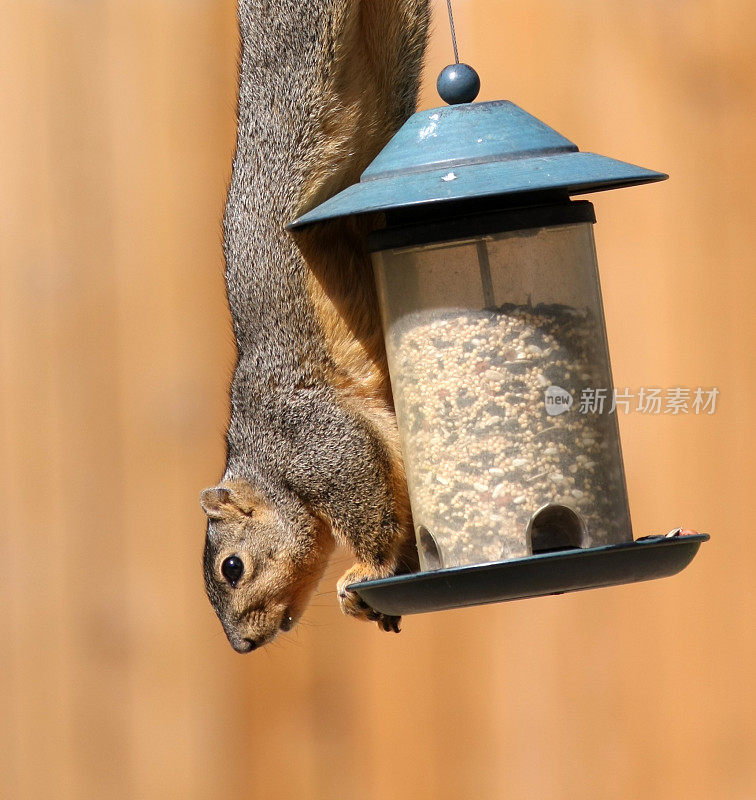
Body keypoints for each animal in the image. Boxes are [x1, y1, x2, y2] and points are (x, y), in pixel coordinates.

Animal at [201, 0, 432, 648]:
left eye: (232, 567)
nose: (244, 644)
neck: (259, 454)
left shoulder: (309, 434)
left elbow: (360, 483)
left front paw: (367, 570)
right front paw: (382, 594)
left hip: (309, 47)